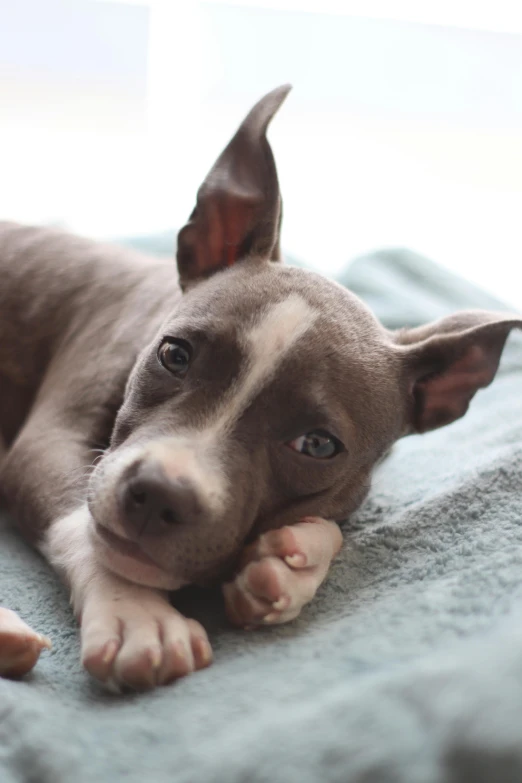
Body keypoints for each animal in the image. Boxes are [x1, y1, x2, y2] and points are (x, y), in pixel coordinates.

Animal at [1, 82, 520, 688]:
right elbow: (82, 523)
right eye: (174, 355)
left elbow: (333, 521)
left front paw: (294, 561)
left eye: (317, 445)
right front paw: (136, 612)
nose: (160, 493)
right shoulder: (48, 444)